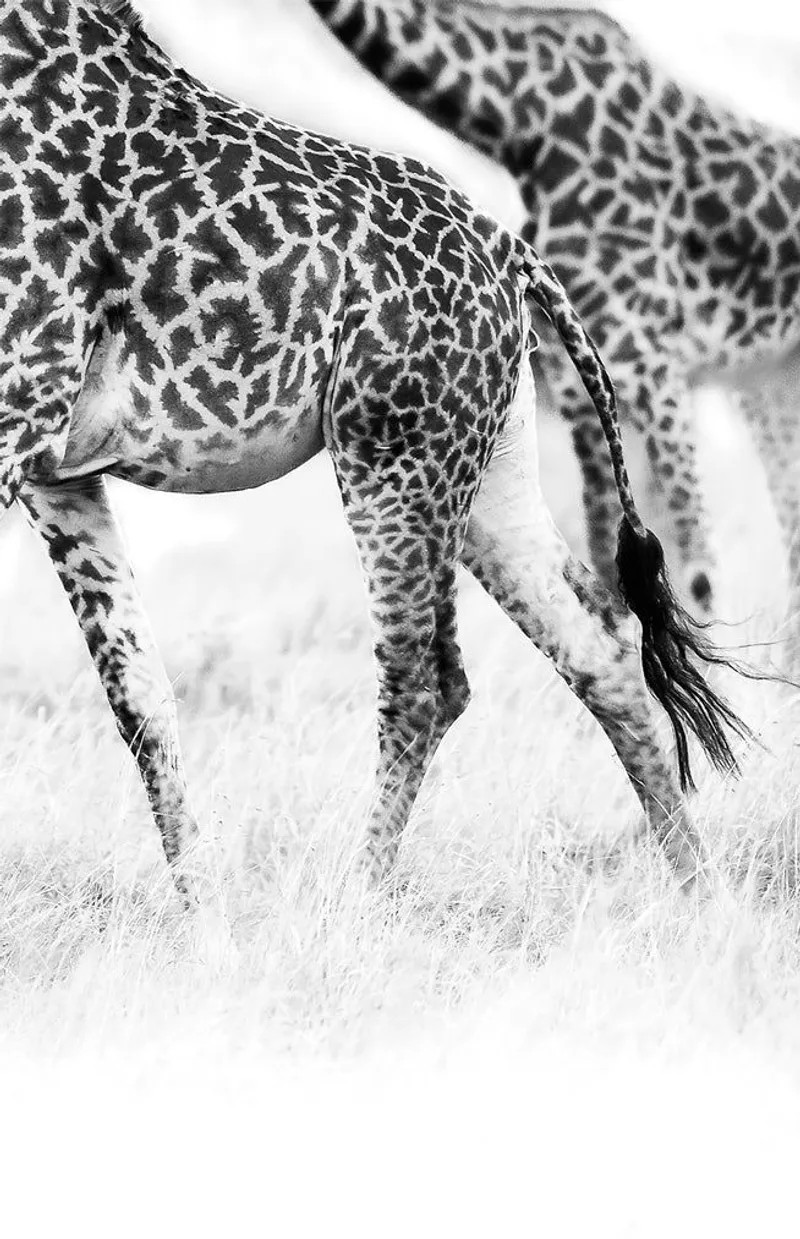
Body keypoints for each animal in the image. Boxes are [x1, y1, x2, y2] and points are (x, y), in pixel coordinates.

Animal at [307, 0, 800, 634]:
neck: (522, 124)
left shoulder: (654, 368)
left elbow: (699, 574)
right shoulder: (584, 391)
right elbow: (612, 573)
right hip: (767, 381)